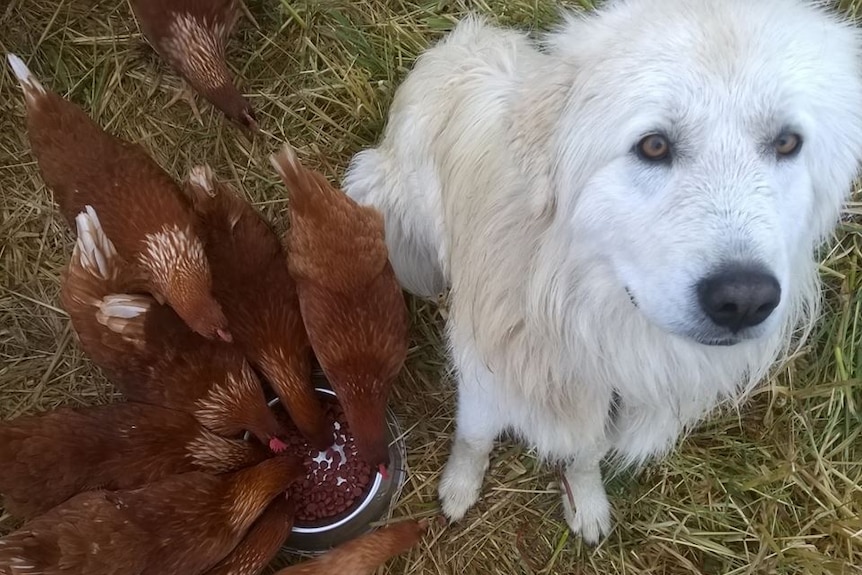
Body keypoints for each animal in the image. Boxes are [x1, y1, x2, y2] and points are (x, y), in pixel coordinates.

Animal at [344, 0, 862, 544]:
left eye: (786, 142)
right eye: (653, 146)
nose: (744, 300)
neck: (596, 330)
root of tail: (468, 37)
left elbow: (586, 454)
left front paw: (586, 500)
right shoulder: (486, 383)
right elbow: (474, 437)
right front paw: (459, 488)